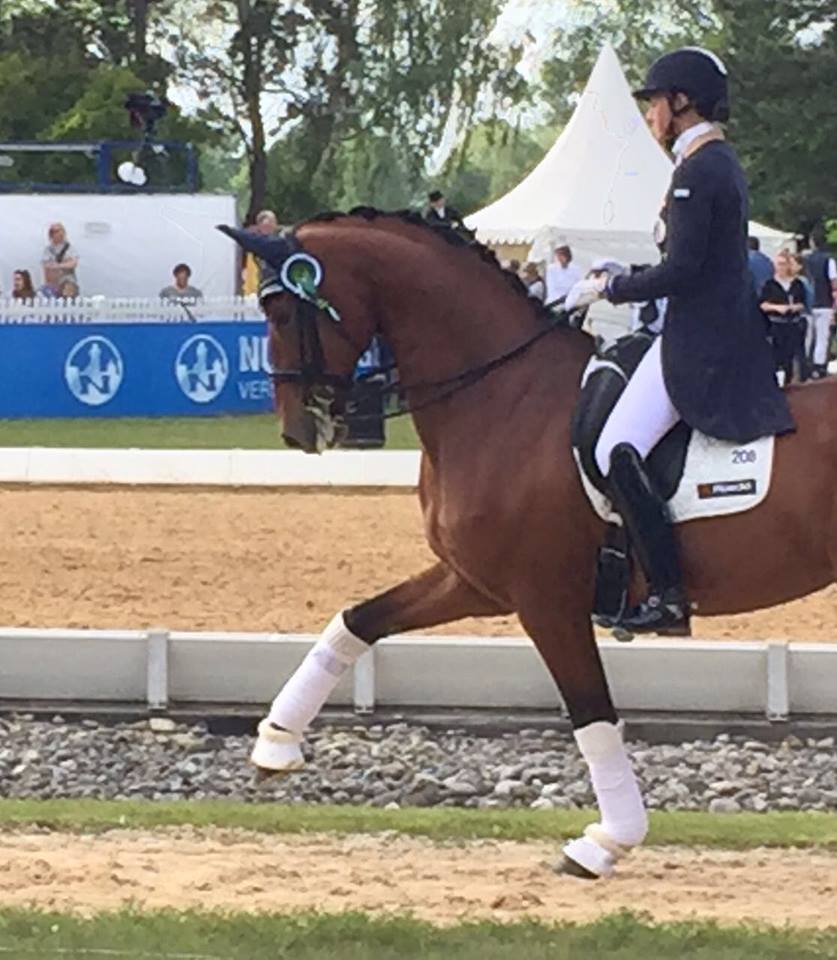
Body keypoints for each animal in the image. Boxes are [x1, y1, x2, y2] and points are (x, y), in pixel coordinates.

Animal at [220, 210, 836, 876]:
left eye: (282, 314)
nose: (298, 431)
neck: (504, 396)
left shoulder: (546, 601)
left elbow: (591, 714)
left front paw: (606, 841)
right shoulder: (474, 582)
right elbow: (358, 620)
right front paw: (276, 743)